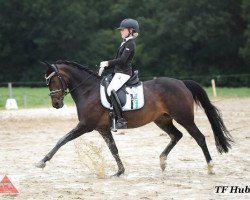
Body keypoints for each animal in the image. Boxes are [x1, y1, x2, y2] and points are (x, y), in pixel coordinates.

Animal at [35, 60, 234, 176]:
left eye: (53, 80)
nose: (56, 104)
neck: (88, 90)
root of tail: (182, 83)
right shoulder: (102, 128)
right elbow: (113, 148)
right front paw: (120, 171)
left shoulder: (85, 125)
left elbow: (62, 140)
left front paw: (42, 161)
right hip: (162, 119)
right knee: (177, 135)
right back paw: (162, 161)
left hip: (184, 118)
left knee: (199, 137)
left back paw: (210, 167)